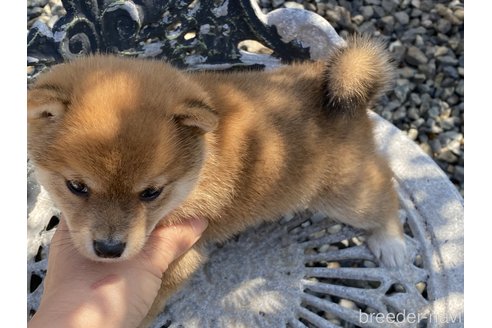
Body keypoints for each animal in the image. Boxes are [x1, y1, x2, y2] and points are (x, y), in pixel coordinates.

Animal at [26, 34, 404, 326]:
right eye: (77, 187)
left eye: (151, 193)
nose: (109, 249)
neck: (198, 170)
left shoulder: (184, 255)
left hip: (345, 196)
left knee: (385, 191)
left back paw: (392, 244)